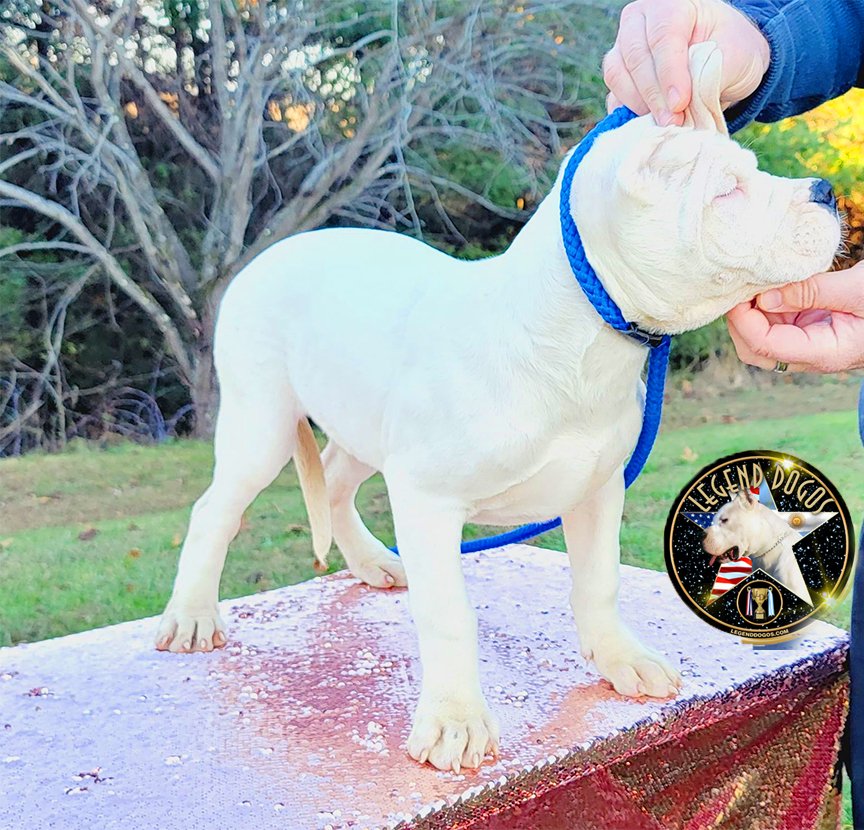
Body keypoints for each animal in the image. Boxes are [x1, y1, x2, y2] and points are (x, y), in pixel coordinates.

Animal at [154, 45, 836, 772]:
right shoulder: (429, 500)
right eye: (726, 191)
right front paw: (454, 720)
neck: (579, 340)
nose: (826, 190)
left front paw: (619, 659)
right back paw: (193, 613)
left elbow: (599, 583)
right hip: (262, 423)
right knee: (215, 509)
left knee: (335, 480)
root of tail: (273, 252)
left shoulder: (597, 490)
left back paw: (371, 563)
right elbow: (450, 615)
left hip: (365, 423)